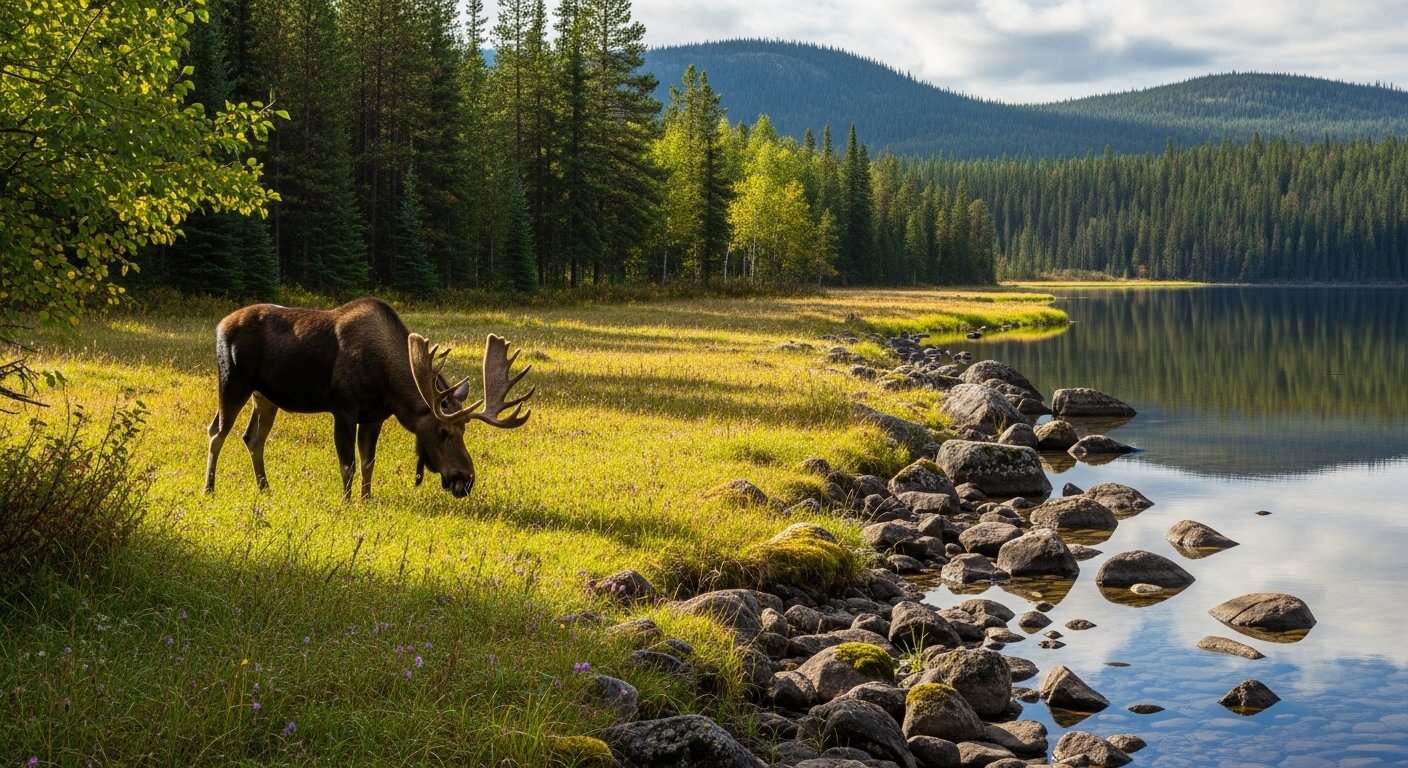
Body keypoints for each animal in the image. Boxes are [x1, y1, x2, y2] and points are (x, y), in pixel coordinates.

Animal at [204, 297, 533, 500]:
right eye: (443, 432)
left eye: (464, 430)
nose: (466, 479)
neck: (390, 387)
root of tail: (219, 325)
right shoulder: (343, 409)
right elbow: (347, 463)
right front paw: (347, 501)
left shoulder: (375, 416)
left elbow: (368, 462)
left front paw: (367, 498)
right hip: (233, 381)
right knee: (217, 432)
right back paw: (209, 488)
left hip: (265, 396)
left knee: (252, 437)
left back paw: (264, 488)